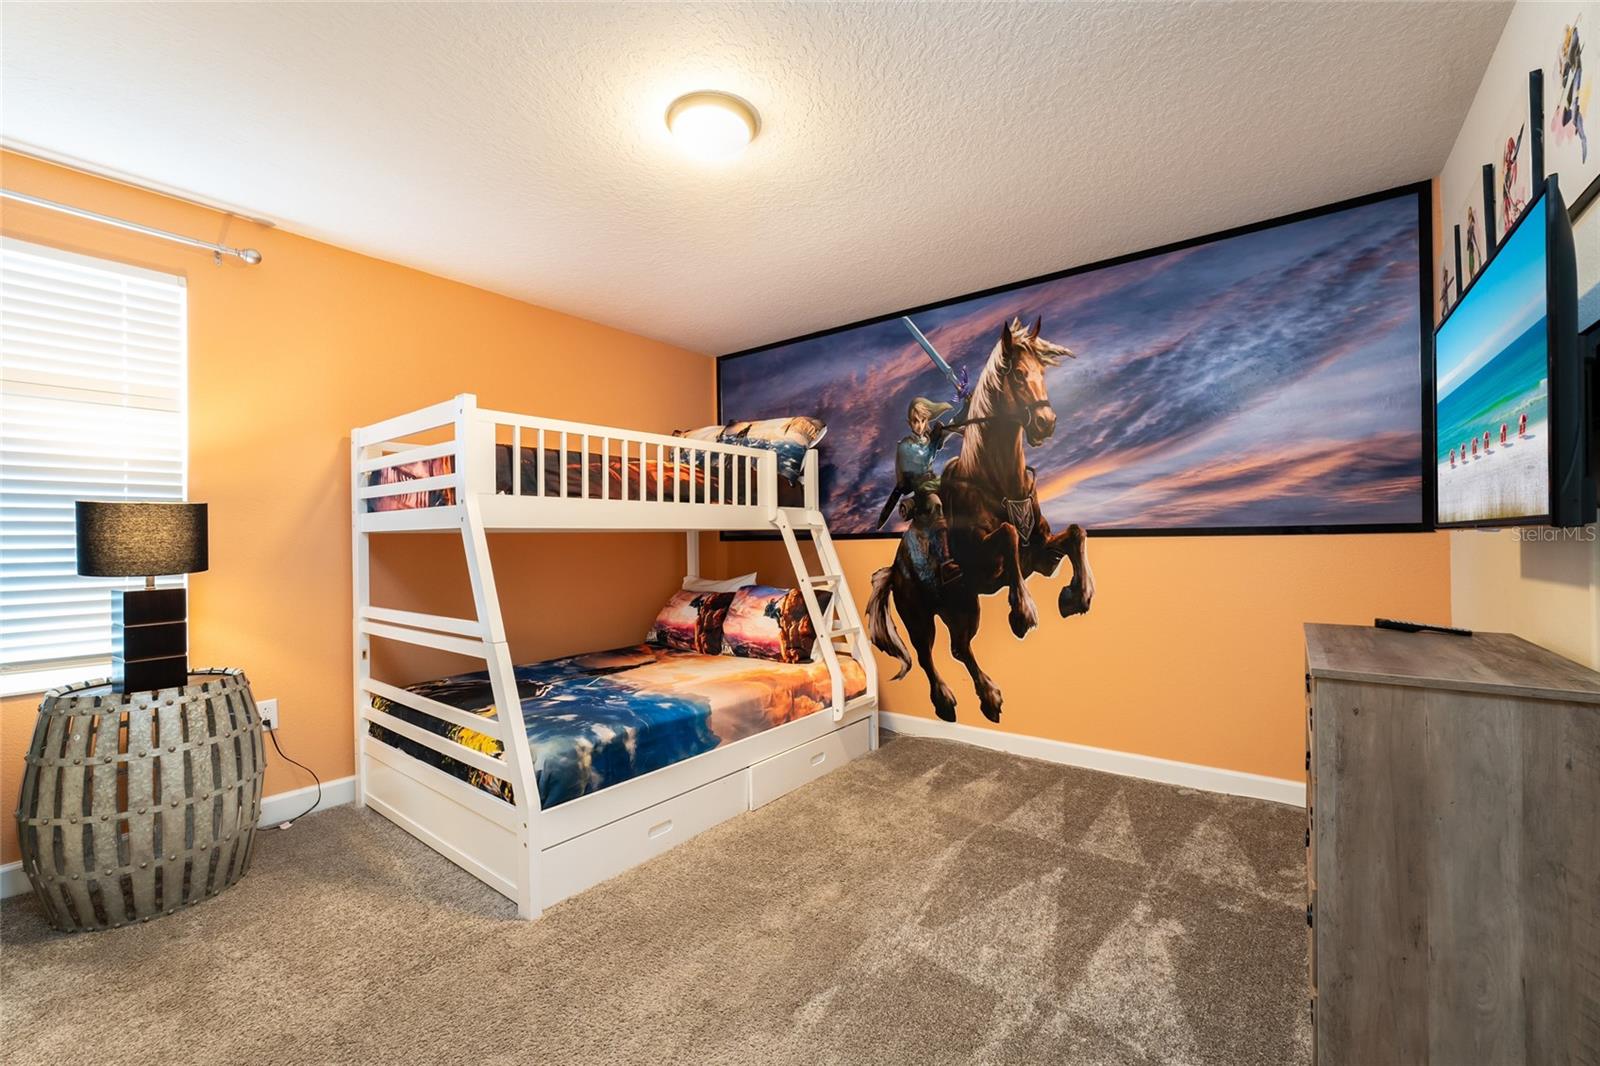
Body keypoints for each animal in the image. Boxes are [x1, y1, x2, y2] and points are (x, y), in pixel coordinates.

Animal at [865, 316, 1094, 723]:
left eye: (1041, 372)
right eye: (1017, 374)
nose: (1046, 423)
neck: (997, 479)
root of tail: (894, 569)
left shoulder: (1040, 555)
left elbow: (1075, 533)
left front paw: (1075, 596)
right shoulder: (986, 566)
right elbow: (1007, 533)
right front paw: (1022, 612)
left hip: (961, 605)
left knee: (960, 648)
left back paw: (988, 696)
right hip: (923, 616)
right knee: (927, 654)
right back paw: (946, 699)